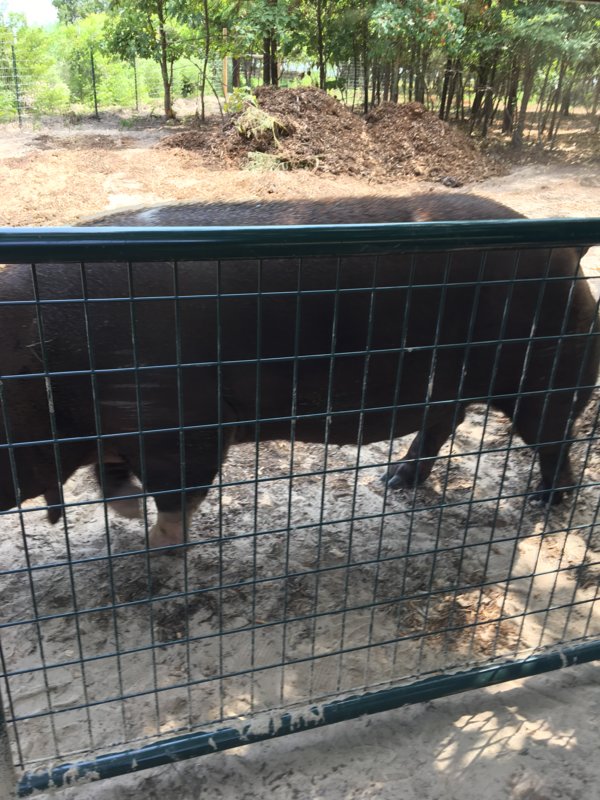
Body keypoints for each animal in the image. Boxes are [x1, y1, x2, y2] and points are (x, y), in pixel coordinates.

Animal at [0, 193, 598, 549]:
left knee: (552, 437)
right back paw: (392, 482)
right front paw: (125, 513)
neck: (40, 357)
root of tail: (569, 249)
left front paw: (155, 546)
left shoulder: (184, 422)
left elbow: (176, 493)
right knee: (444, 422)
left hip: (546, 371)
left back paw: (544, 502)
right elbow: (113, 477)